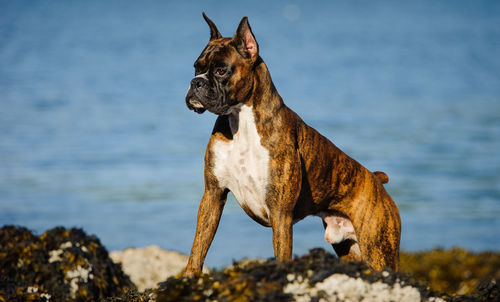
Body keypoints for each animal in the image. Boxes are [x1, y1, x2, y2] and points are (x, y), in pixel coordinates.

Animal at [182, 14, 400, 278]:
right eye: (196, 68)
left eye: (221, 70)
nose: (195, 82)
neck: (241, 121)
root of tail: (376, 180)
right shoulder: (213, 195)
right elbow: (198, 247)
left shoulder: (280, 214)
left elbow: (282, 255)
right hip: (351, 250)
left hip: (379, 250)